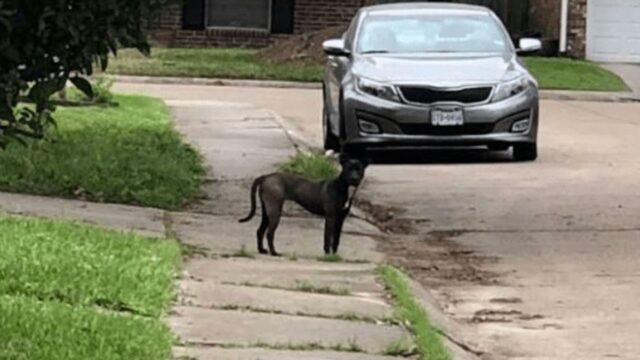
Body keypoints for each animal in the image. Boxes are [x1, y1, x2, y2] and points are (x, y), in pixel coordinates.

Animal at [240, 157, 370, 256]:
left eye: (359, 169)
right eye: (348, 169)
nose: (354, 178)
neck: (343, 187)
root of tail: (266, 176)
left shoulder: (340, 219)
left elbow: (336, 239)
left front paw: (335, 255)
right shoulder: (330, 217)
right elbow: (328, 237)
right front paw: (328, 255)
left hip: (266, 211)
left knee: (260, 231)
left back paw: (262, 250)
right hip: (275, 211)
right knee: (269, 233)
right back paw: (274, 252)